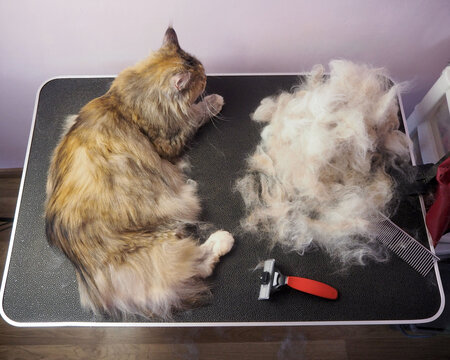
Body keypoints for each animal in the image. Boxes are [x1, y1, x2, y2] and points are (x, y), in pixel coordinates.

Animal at [45, 28, 234, 320]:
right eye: (201, 78)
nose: (206, 77)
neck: (128, 103)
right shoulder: (170, 141)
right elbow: (195, 113)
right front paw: (214, 101)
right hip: (162, 239)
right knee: (197, 264)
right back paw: (223, 238)